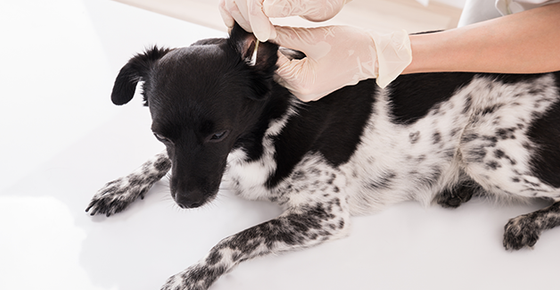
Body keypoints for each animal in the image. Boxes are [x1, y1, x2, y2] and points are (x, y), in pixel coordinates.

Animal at [85, 24, 560, 290]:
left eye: (217, 133)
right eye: (158, 132)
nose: (186, 202)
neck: (269, 127)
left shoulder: (326, 215)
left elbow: (231, 241)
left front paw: (191, 275)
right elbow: (161, 163)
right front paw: (121, 187)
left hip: (486, 146)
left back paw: (525, 221)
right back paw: (458, 190)